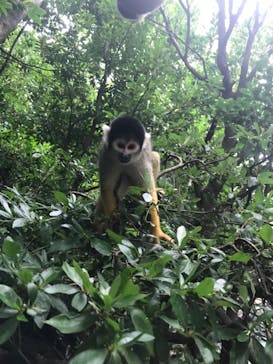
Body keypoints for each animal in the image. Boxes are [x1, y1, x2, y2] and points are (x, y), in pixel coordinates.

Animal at [94, 115, 173, 243]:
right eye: (120, 145)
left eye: (131, 147)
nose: (124, 155)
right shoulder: (106, 153)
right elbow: (107, 188)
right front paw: (111, 220)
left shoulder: (143, 156)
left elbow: (149, 192)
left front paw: (156, 232)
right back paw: (97, 223)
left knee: (154, 156)